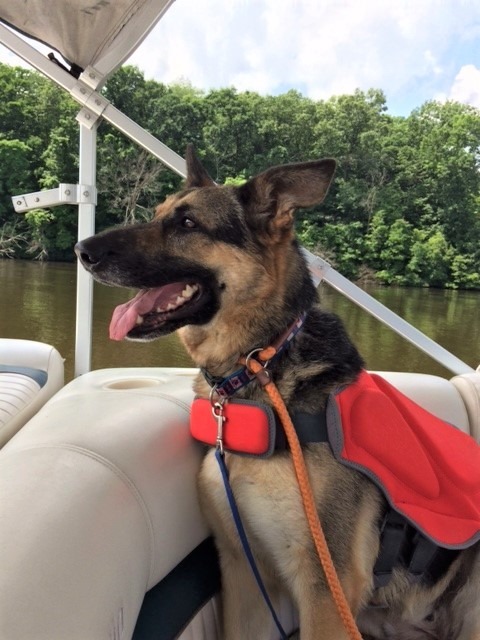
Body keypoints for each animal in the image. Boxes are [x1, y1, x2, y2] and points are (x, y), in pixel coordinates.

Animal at [76, 148, 480, 636]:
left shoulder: (327, 588)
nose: (82, 251)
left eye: (188, 222)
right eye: (157, 214)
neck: (263, 359)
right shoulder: (242, 570)